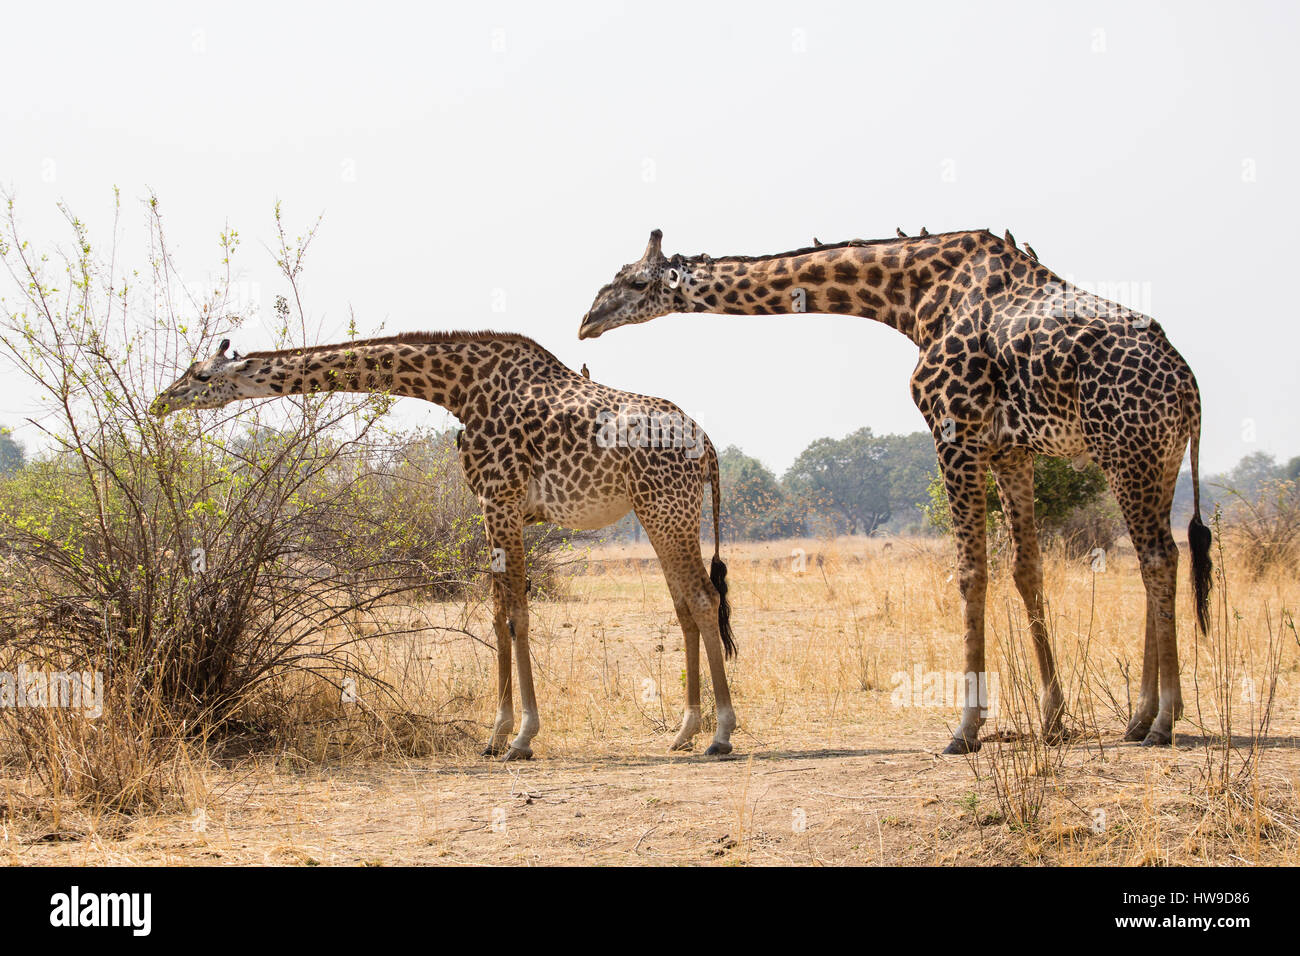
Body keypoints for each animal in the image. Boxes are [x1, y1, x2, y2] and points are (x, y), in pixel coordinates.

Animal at [149, 332, 743, 759]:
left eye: (200, 373)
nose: (162, 400)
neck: (458, 389)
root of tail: (708, 444)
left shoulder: (499, 501)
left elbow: (517, 614)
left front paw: (521, 737)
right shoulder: (494, 507)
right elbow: (499, 613)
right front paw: (497, 735)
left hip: (666, 507)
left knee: (704, 599)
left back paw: (720, 734)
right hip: (657, 510)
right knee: (685, 605)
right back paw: (684, 732)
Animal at [579, 230, 1206, 754]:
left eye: (637, 282)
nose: (587, 319)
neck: (913, 299)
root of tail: (1190, 389)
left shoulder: (956, 432)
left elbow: (971, 573)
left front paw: (965, 728)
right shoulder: (1011, 450)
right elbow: (1027, 570)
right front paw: (1053, 718)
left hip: (1128, 452)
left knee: (1156, 558)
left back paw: (1163, 720)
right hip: (1156, 461)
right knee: (1162, 557)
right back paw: (1139, 718)